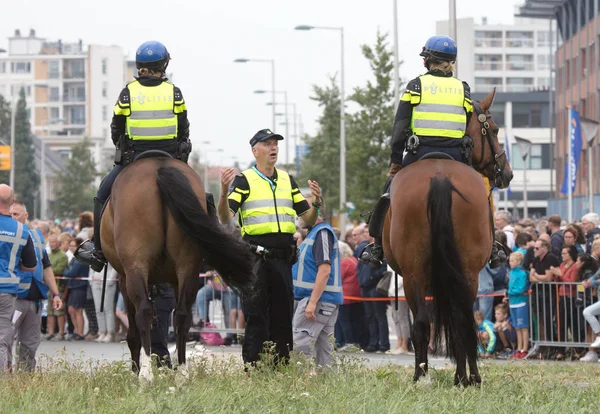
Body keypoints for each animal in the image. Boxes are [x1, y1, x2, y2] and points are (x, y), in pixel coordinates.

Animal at [101, 154, 255, 384]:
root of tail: (159, 167)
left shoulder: (123, 276)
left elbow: (134, 332)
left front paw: (136, 370)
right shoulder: (176, 278)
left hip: (136, 266)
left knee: (144, 311)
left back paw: (146, 375)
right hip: (188, 267)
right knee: (182, 314)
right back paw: (182, 372)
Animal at [382, 88, 512, 388]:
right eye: (495, 130)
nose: (508, 173)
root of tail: (440, 177)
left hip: (416, 273)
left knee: (425, 322)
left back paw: (427, 376)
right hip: (464, 271)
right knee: (459, 319)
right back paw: (464, 377)